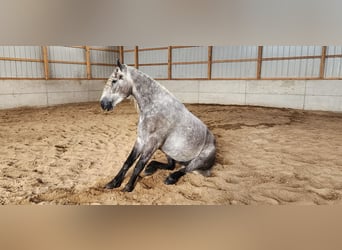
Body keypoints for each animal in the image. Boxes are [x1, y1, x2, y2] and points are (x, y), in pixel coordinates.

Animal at [99, 58, 216, 191]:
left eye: (114, 80)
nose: (103, 104)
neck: (155, 106)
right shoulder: (140, 140)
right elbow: (128, 162)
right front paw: (113, 183)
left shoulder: (153, 143)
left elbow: (139, 165)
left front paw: (128, 187)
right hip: (167, 150)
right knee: (171, 165)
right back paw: (151, 168)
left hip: (199, 159)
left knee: (184, 169)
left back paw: (170, 178)